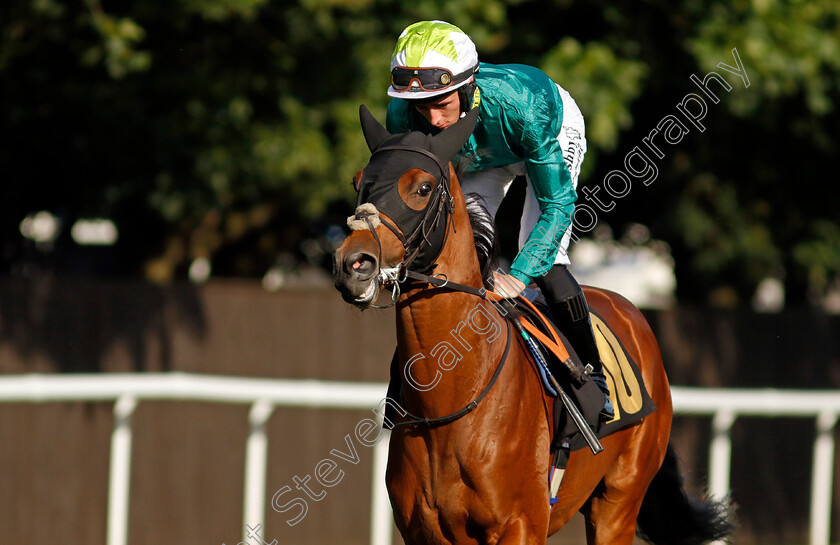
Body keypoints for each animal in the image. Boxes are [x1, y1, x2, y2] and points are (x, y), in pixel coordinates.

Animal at [332, 106, 732, 544]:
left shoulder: (521, 525)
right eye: (358, 182)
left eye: (422, 187)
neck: (451, 403)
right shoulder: (422, 531)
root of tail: (631, 312)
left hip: (619, 504)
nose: (353, 264)